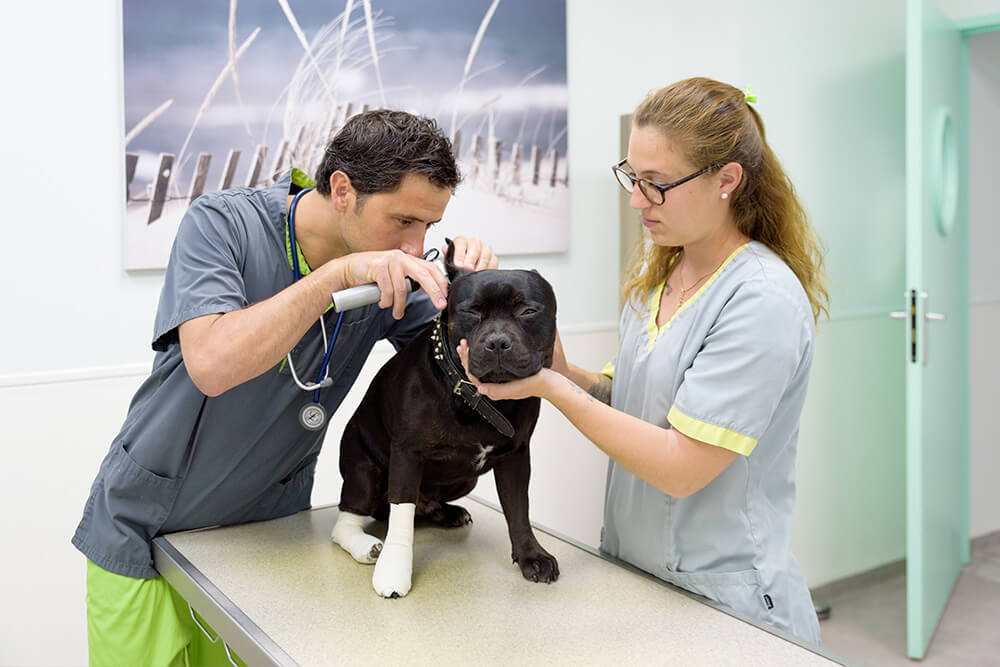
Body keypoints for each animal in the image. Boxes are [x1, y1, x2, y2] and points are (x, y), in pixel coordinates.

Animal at [332, 243, 560, 596]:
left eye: (527, 312)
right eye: (471, 312)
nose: (497, 342)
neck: (476, 398)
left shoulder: (516, 456)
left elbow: (519, 508)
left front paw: (530, 555)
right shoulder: (407, 455)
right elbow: (401, 508)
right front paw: (394, 569)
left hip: (466, 479)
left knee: (413, 508)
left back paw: (446, 513)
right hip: (364, 474)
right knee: (360, 514)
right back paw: (366, 545)